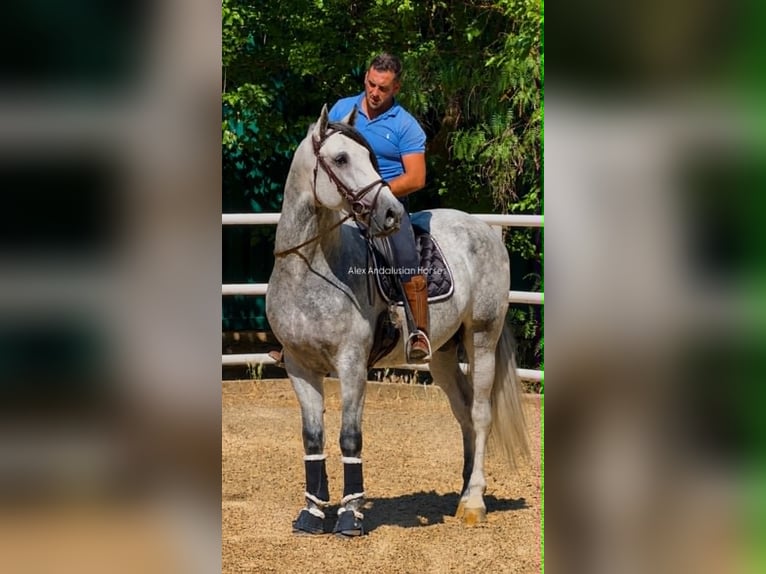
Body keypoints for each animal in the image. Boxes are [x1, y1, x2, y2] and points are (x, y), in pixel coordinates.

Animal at [265, 105, 529, 536]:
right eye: (341, 158)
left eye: (370, 158)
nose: (390, 213)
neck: (310, 270)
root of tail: (484, 230)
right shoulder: (299, 366)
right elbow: (312, 439)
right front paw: (312, 513)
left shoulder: (352, 365)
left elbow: (349, 437)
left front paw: (350, 515)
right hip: (442, 354)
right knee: (463, 413)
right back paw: (464, 489)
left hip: (482, 339)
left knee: (480, 413)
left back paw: (474, 502)